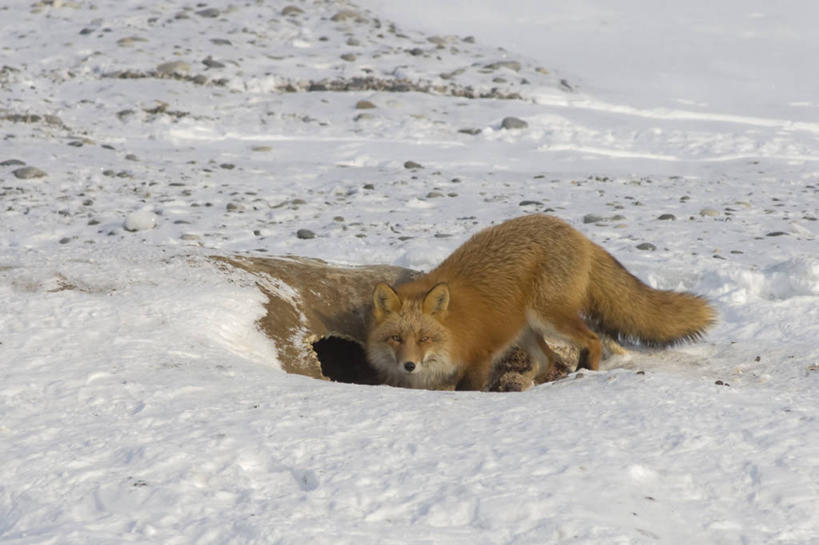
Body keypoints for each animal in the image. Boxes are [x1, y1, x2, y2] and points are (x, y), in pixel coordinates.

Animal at [366, 215, 716, 388]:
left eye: (424, 338)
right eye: (396, 338)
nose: (409, 365)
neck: (453, 330)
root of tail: (577, 234)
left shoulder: (478, 357)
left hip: (548, 317)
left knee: (591, 339)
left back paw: (583, 373)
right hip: (526, 329)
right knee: (546, 361)